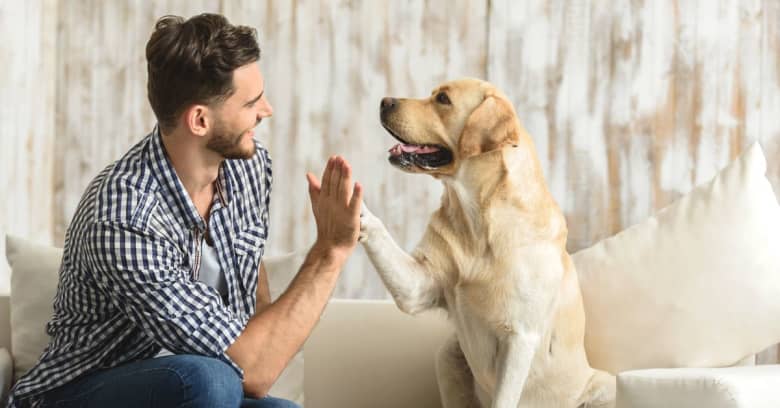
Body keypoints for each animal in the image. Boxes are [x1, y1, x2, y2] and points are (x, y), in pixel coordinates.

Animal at [360, 78, 616, 406]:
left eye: (443, 99)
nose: (384, 101)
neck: (477, 220)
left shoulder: (519, 337)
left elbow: (504, 398)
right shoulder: (418, 286)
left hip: (605, 385)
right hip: (448, 356)